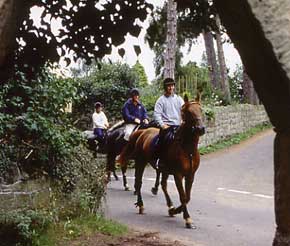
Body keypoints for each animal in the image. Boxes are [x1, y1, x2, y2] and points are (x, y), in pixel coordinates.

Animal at [117, 94, 204, 229]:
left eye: (201, 110)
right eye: (189, 112)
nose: (200, 129)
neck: (187, 149)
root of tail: (142, 132)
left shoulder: (190, 175)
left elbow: (187, 196)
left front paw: (175, 210)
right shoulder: (178, 175)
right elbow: (183, 196)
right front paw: (187, 219)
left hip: (164, 170)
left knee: (163, 185)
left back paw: (170, 206)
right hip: (141, 163)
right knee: (139, 183)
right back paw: (141, 205)